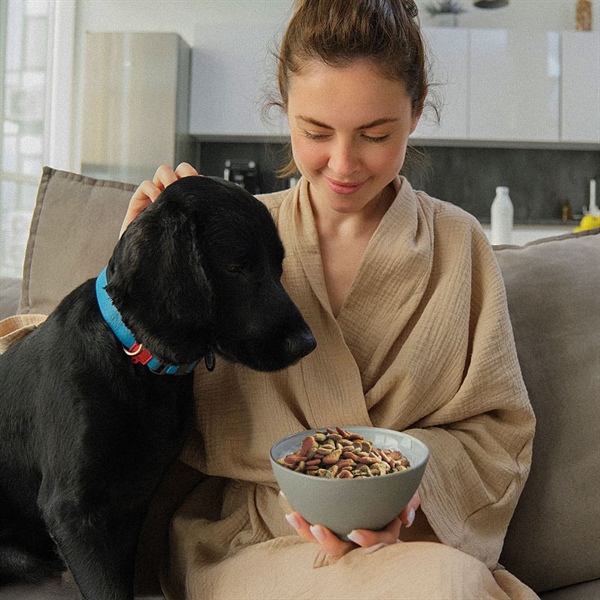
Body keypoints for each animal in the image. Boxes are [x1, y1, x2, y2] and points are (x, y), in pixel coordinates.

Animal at [0, 176, 316, 596]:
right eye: (237, 267)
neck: (135, 359)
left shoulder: (131, 504)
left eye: (278, 266)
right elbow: (106, 589)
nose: (307, 343)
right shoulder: (74, 511)